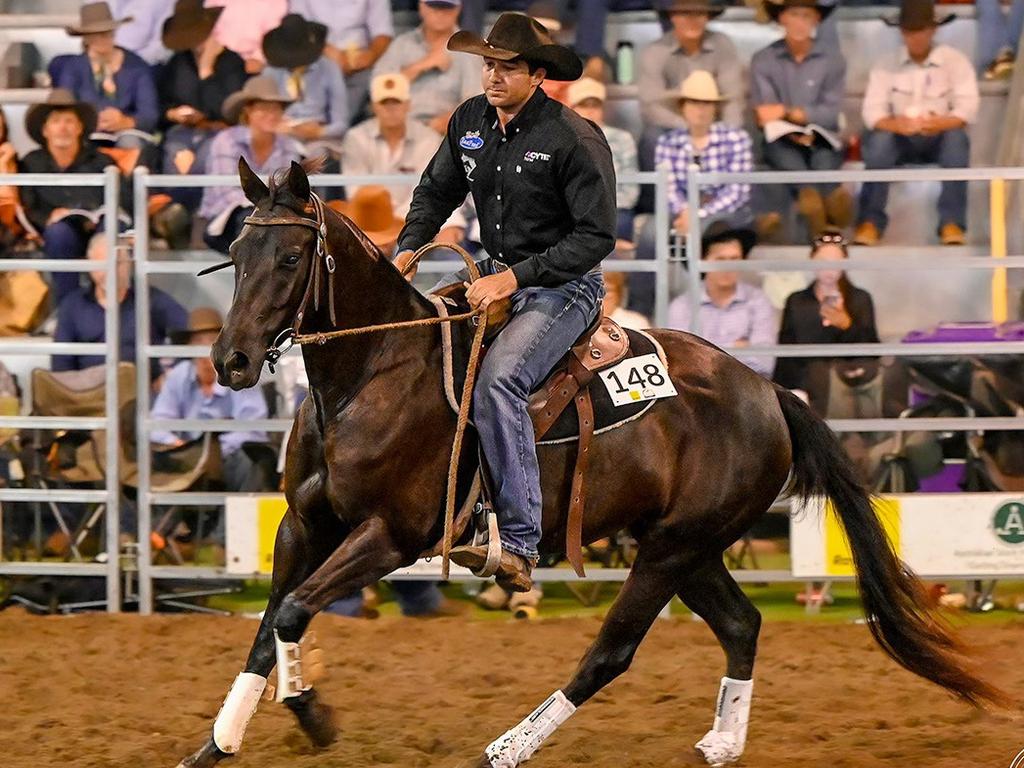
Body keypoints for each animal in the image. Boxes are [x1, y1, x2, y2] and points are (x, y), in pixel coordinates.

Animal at [176, 159, 999, 765]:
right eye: (236, 255)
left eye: (290, 256)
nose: (232, 360)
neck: (375, 374)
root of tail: (767, 391)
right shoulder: (303, 525)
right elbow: (269, 625)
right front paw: (215, 744)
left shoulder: (392, 535)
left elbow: (292, 610)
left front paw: (312, 712)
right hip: (685, 545)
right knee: (741, 626)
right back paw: (720, 744)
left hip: (671, 551)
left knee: (613, 651)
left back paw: (506, 748)